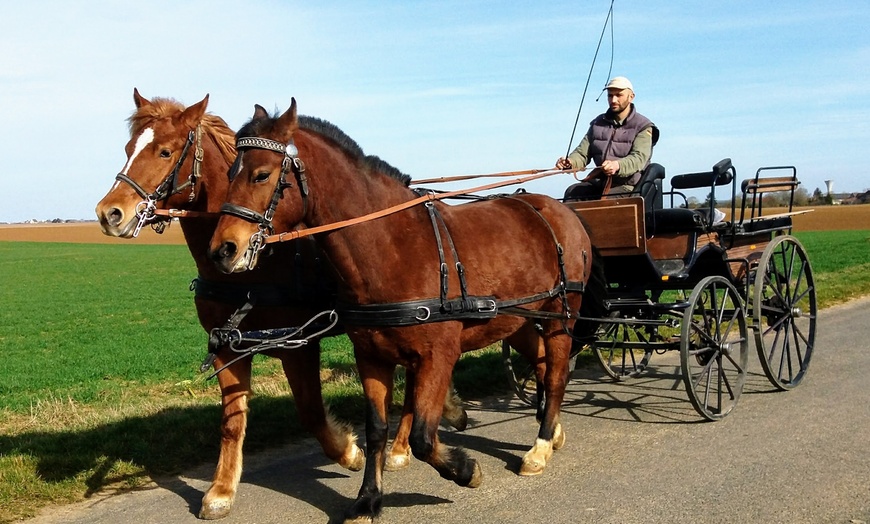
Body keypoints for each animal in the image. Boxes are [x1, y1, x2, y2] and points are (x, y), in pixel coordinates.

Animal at [93, 91, 466, 520]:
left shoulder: (299, 343)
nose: (109, 213)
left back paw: (404, 446)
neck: (256, 266)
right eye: (127, 149)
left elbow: (310, 411)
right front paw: (221, 489)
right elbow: (232, 421)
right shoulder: (227, 343)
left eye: (165, 151)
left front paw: (349, 452)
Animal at [209, 100, 600, 520]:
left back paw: (540, 447)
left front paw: (465, 469)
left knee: (557, 375)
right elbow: (376, 430)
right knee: (542, 365)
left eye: (261, 174)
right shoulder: (371, 356)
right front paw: (368, 498)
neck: (393, 246)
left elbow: (424, 437)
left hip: (562, 314)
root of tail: (557, 209)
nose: (223, 250)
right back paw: (552, 430)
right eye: (230, 172)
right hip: (522, 319)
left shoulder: (438, 355)